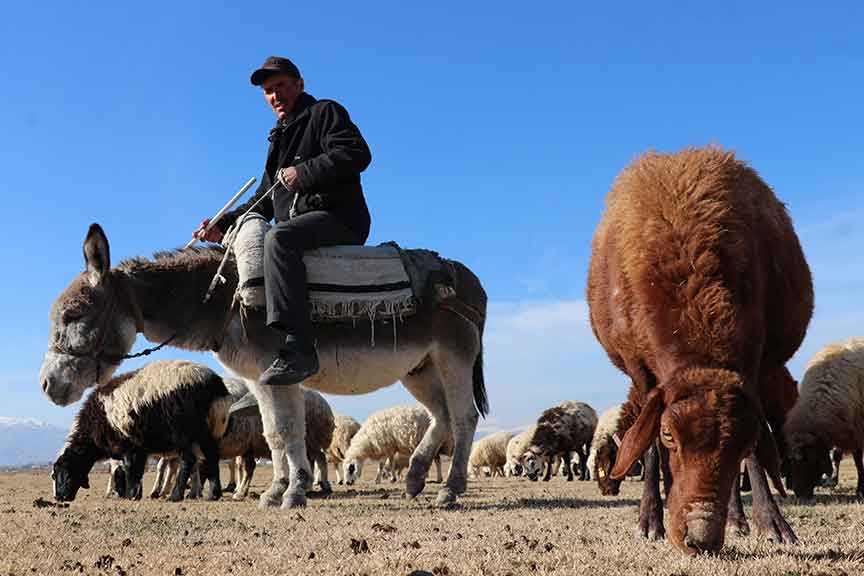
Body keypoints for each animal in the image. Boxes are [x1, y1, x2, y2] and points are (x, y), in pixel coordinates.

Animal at [54, 362, 233, 502]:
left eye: (63, 473)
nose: (59, 497)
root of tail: (215, 385)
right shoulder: (138, 448)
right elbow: (138, 470)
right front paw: (135, 494)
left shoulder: (127, 445)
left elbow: (129, 469)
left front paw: (129, 495)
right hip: (206, 431)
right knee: (212, 455)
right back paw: (213, 494)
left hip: (184, 431)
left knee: (189, 459)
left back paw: (175, 496)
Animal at [588, 146, 808, 552]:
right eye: (668, 434)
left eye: (743, 438)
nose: (701, 537)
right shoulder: (639, 367)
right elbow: (650, 449)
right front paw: (651, 520)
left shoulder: (752, 360)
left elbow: (755, 458)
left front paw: (772, 523)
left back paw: (738, 518)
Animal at [784, 338, 864, 500]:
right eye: (791, 462)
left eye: (810, 460)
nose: (800, 494)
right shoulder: (846, 428)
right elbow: (840, 457)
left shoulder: (857, 428)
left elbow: (858, 461)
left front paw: (860, 490)